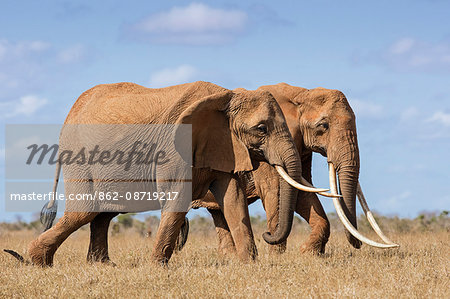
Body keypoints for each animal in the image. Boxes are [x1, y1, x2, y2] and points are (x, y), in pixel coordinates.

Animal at [4, 80, 326, 268]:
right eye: (261, 129)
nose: (268, 233)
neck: (226, 95)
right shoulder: (174, 146)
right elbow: (178, 200)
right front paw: (156, 267)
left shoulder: (224, 144)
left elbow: (232, 200)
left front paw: (248, 265)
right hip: (80, 156)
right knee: (84, 211)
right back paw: (37, 262)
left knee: (103, 213)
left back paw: (101, 266)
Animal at [178, 82, 400, 255]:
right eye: (324, 126)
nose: (265, 234)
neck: (301, 93)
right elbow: (277, 192)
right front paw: (278, 257)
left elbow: (303, 192)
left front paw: (308, 253)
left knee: (219, 213)